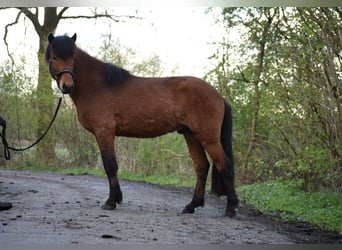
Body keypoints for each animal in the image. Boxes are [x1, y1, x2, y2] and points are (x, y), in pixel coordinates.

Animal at [45, 33, 238, 217]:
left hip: (208, 138)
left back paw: (231, 208)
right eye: (54, 57)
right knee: (202, 167)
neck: (97, 86)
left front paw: (111, 201)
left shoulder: (104, 132)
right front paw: (115, 199)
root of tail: (218, 95)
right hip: (191, 135)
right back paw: (191, 206)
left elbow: (110, 165)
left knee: (224, 165)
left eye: (73, 57)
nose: (67, 85)